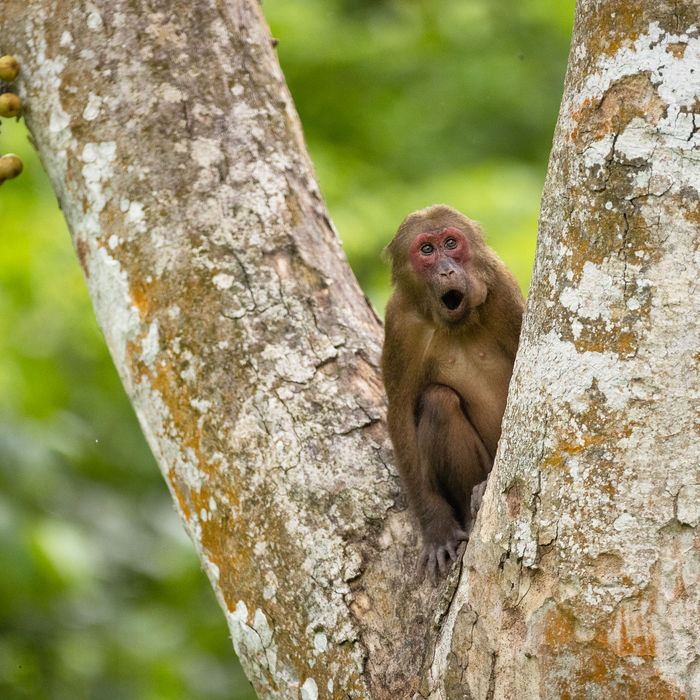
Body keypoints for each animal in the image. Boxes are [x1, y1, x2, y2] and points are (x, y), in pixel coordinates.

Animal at [381, 204, 524, 584]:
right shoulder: (399, 322)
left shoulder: (500, 286)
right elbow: (400, 414)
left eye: (450, 243)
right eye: (426, 250)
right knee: (438, 401)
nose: (447, 270)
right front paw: (436, 528)